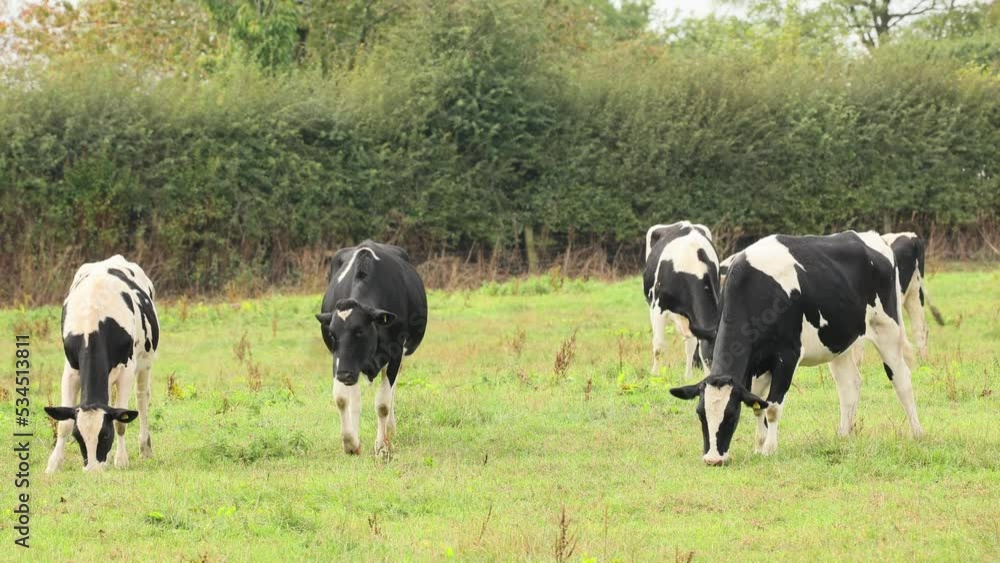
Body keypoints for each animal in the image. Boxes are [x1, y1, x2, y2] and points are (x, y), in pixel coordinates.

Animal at [44, 255, 159, 473]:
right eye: (78, 436)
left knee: (142, 398)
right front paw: (53, 464)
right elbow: (63, 424)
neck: (94, 322)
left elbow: (120, 422)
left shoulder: (127, 371)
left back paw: (145, 448)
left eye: (105, 435)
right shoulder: (70, 370)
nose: (92, 470)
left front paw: (121, 461)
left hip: (146, 361)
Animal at [315, 240, 427, 457]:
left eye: (359, 331)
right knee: (355, 399)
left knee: (390, 393)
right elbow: (342, 399)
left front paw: (381, 446)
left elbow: (383, 403)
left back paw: (390, 430)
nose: (343, 375)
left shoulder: (395, 353)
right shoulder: (340, 360)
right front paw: (351, 443)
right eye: (332, 334)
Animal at [668, 231, 923, 465]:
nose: (713, 459)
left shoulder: (786, 356)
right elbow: (758, 405)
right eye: (700, 414)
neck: (755, 289)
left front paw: (769, 449)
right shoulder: (756, 363)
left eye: (731, 415)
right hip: (838, 341)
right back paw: (843, 435)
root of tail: (870, 236)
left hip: (887, 328)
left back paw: (917, 432)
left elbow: (771, 407)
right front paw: (759, 446)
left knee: (902, 379)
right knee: (849, 385)